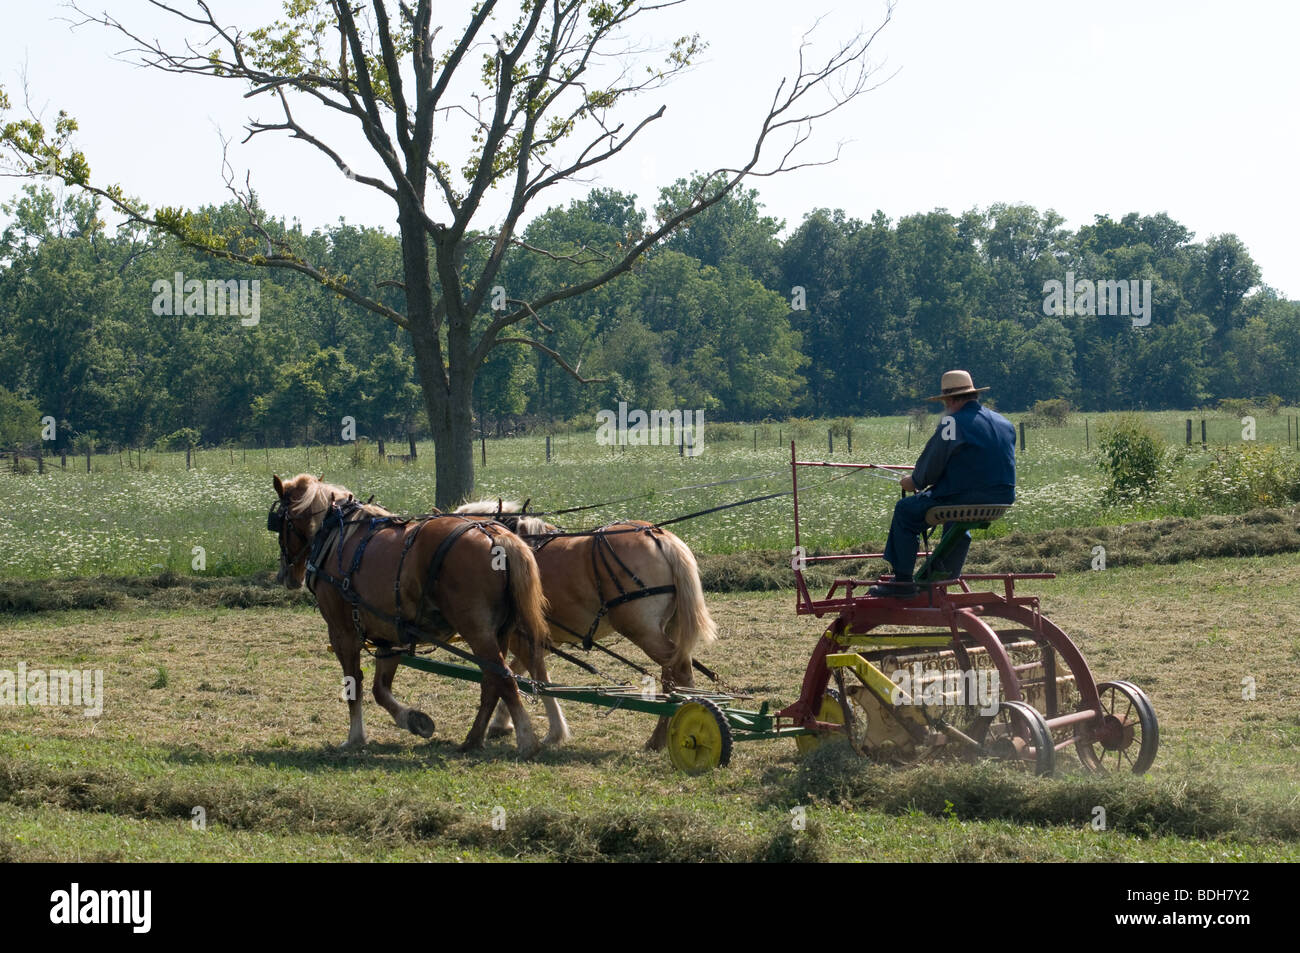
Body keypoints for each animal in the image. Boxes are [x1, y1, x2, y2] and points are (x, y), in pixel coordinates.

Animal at [269, 475, 556, 757]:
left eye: (280, 521)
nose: (286, 576)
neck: (339, 536)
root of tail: (496, 536)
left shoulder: (342, 634)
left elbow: (355, 685)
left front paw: (355, 737)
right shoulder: (389, 635)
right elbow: (380, 689)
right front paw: (413, 720)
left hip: (477, 632)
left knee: (504, 679)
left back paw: (526, 740)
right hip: (500, 632)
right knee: (491, 682)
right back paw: (473, 739)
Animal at [455, 499, 718, 750]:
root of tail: (658, 536)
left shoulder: (521, 636)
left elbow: (528, 676)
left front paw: (552, 732)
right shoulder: (538, 638)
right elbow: (519, 671)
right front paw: (502, 722)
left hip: (643, 631)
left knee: (679, 672)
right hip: (667, 628)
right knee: (670, 675)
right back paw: (661, 734)